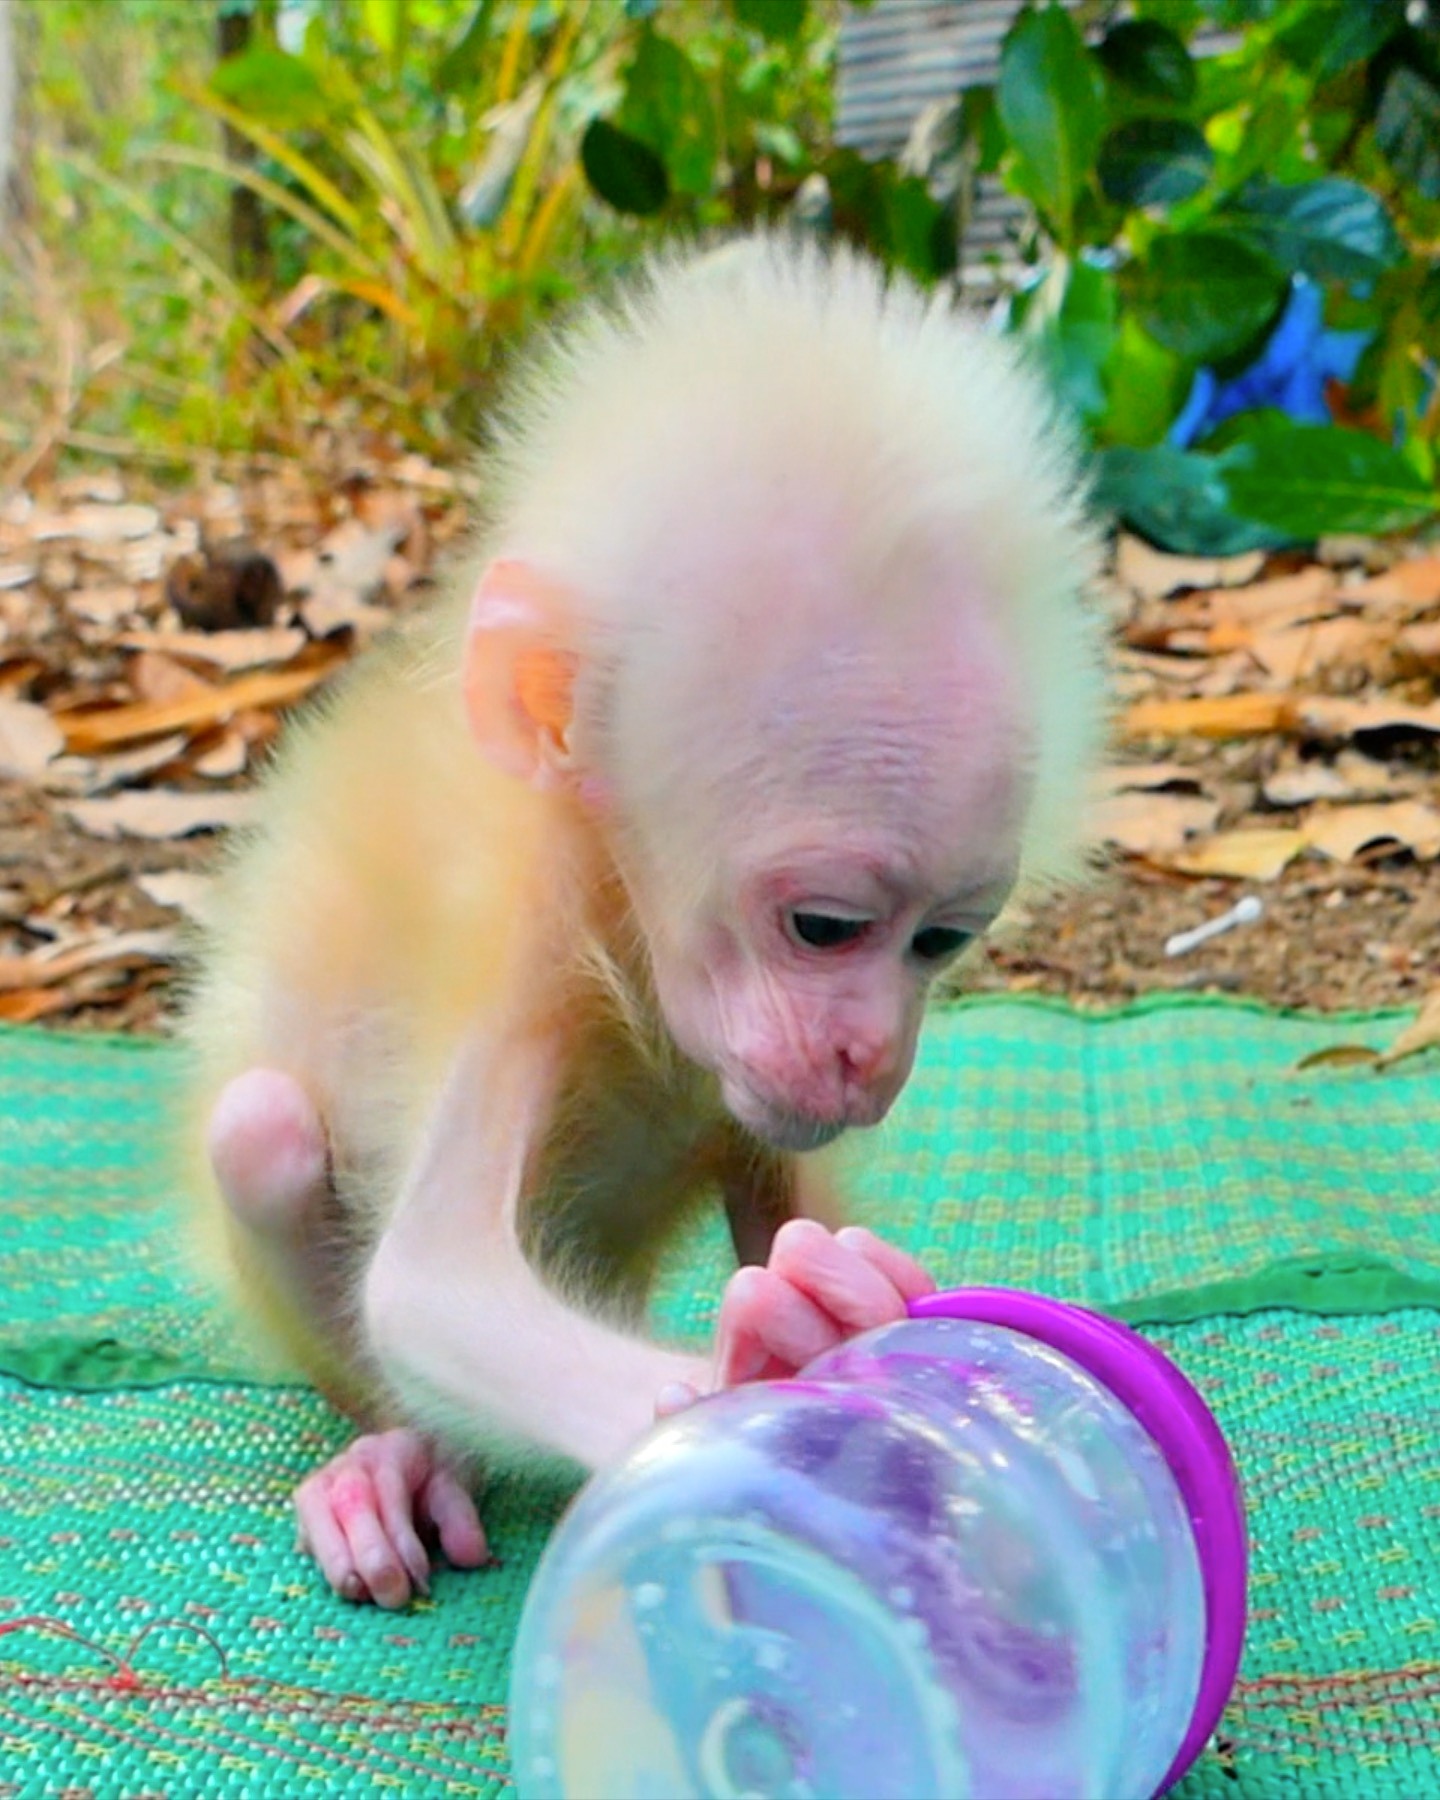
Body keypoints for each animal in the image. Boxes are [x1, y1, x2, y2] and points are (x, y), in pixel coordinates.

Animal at [180, 235, 1105, 1610]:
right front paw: (741, 1386)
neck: (622, 917)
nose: (868, 1053)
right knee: (261, 1135)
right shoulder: (522, 943)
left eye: (939, 942)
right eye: (824, 928)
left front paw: (826, 1314)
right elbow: (426, 1281)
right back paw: (395, 1456)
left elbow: (789, 1199)